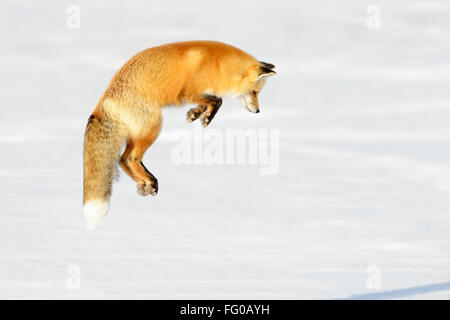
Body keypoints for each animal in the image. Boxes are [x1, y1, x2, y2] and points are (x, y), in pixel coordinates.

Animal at [82, 40, 276, 229]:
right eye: (254, 92)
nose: (258, 111)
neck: (217, 65)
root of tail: (104, 101)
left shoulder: (197, 93)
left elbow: (209, 102)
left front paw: (196, 114)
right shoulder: (188, 91)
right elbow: (218, 100)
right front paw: (206, 117)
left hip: (138, 134)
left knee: (122, 160)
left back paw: (145, 184)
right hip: (154, 126)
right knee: (131, 158)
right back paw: (150, 181)